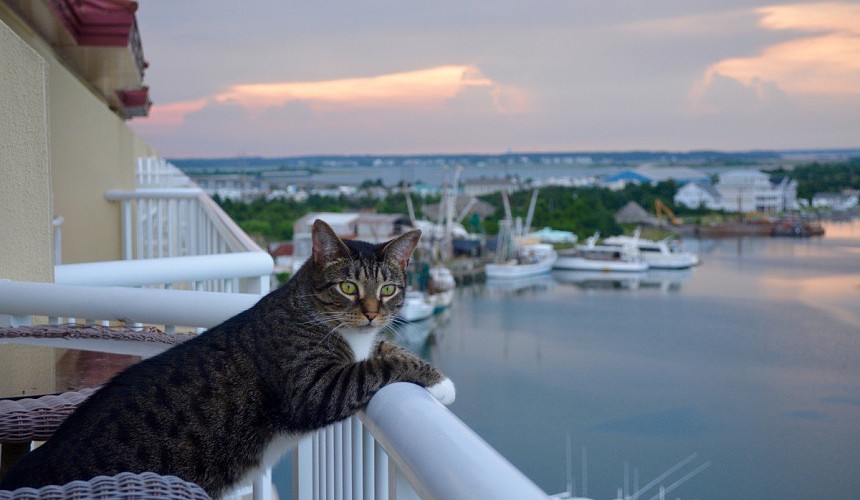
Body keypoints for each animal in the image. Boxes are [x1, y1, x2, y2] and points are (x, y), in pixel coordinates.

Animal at [0, 221, 454, 498]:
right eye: (348, 287)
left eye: (389, 289)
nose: (372, 313)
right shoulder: (313, 387)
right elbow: (375, 366)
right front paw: (438, 382)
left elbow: (383, 350)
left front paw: (436, 376)